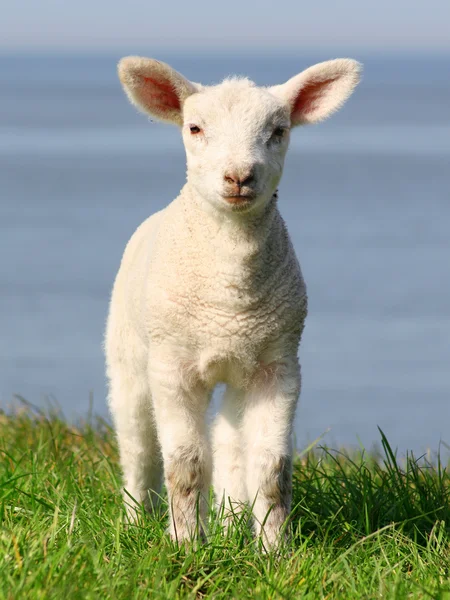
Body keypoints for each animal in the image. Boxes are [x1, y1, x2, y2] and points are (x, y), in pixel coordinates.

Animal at [103, 56, 360, 548]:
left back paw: (229, 522)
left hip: (239, 373)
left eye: (278, 130)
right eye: (195, 128)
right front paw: (186, 543)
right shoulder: (173, 367)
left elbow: (271, 468)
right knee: (137, 443)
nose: (239, 177)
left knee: (226, 441)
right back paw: (134, 520)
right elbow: (184, 464)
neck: (229, 299)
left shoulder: (277, 366)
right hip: (128, 356)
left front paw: (275, 550)